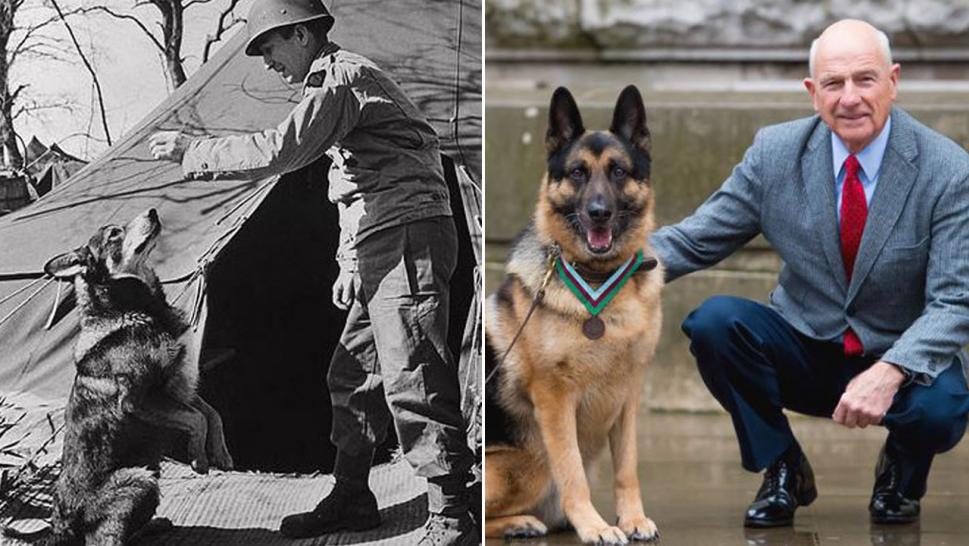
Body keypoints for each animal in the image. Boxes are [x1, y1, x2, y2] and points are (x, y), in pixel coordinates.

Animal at [40, 206, 233, 540]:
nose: (153, 211)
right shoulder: (139, 399)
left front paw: (220, 453)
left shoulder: (177, 387)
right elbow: (197, 419)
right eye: (113, 234)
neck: (131, 311)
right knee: (107, 539)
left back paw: (156, 524)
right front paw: (198, 457)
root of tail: (61, 528)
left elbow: (212, 414)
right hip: (141, 479)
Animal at [484, 87, 664, 540]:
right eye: (578, 173)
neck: (596, 277)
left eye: (618, 171)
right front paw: (595, 526)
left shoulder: (628, 395)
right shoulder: (554, 399)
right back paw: (521, 523)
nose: (599, 212)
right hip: (529, 466)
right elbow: (573, 473)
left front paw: (632, 519)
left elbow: (628, 468)